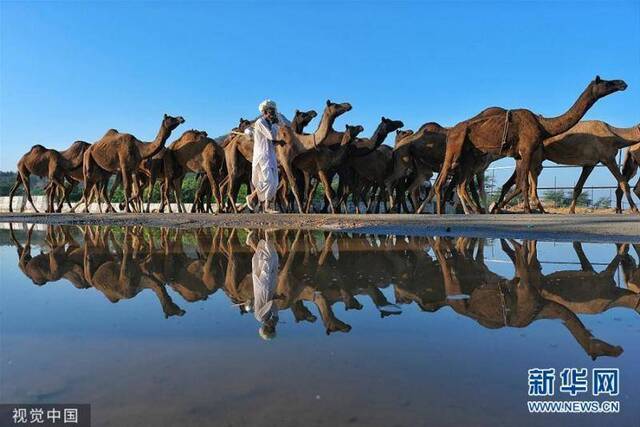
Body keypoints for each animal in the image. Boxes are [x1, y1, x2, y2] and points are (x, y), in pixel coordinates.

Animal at [492, 120, 636, 214]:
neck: (615, 135)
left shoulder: (590, 163)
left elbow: (578, 187)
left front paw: (571, 210)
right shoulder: (608, 158)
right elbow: (624, 183)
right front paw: (635, 209)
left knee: (518, 182)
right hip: (534, 157)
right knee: (525, 183)